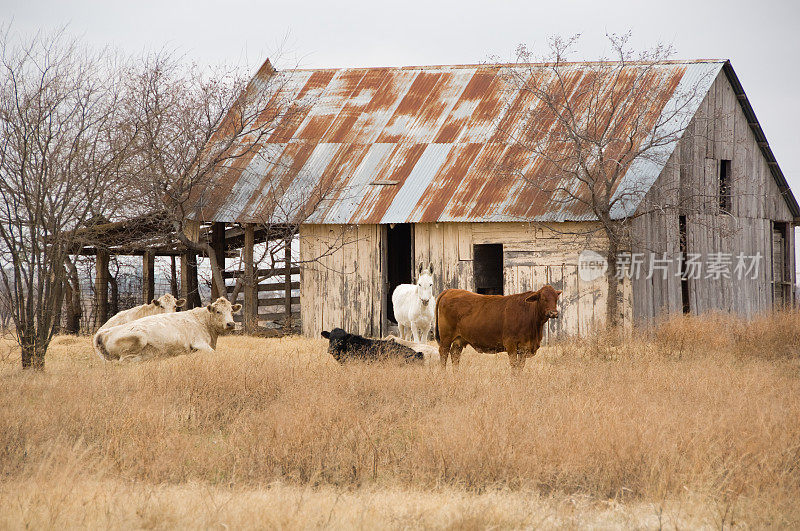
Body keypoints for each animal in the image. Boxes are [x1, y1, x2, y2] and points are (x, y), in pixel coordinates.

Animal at [93, 298, 241, 364]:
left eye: (231, 311)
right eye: (218, 311)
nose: (231, 323)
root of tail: (103, 332)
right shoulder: (199, 342)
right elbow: (214, 354)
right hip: (139, 338)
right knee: (124, 361)